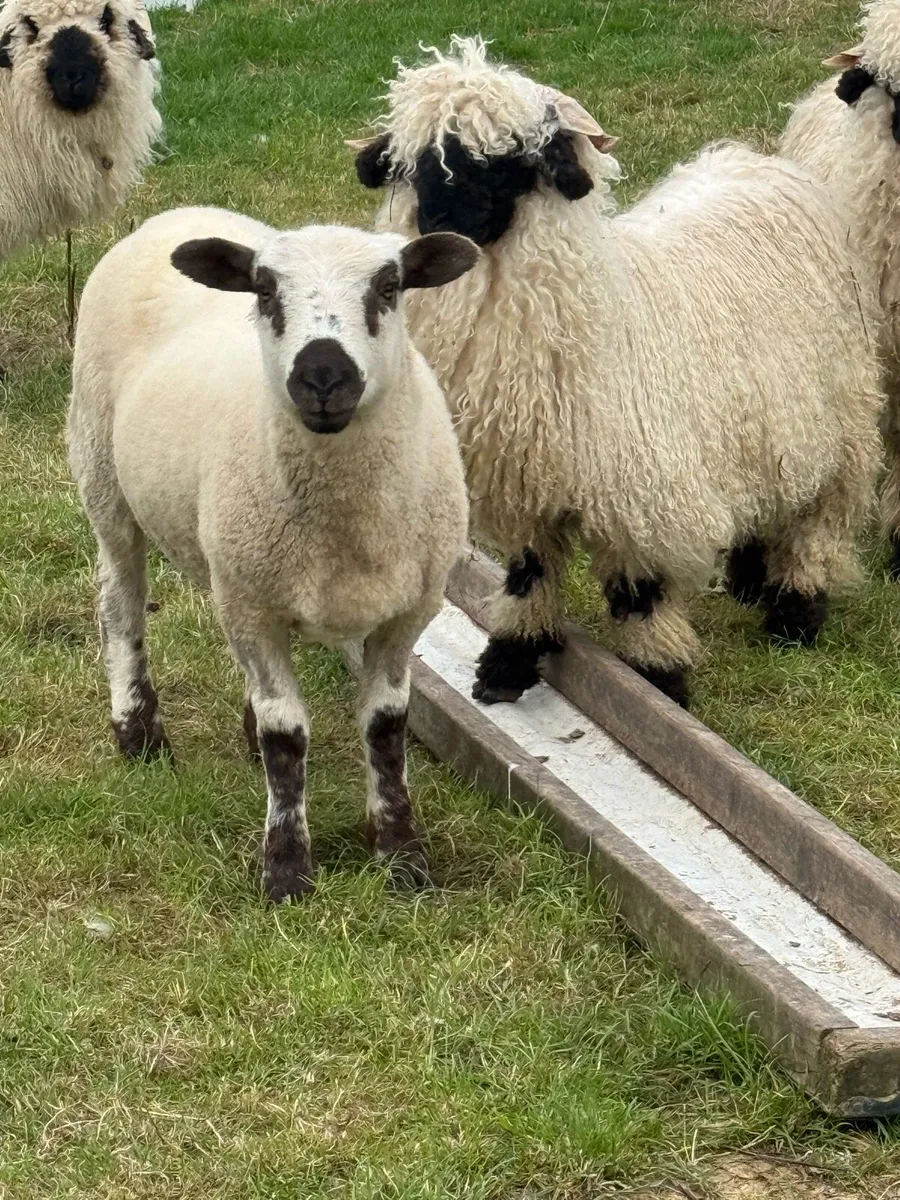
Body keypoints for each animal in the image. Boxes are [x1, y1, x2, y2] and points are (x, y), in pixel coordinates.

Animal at [66, 205, 478, 902]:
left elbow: (385, 726)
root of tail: (177, 213)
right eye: (264, 291)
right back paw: (138, 733)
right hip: (102, 473)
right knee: (120, 603)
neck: (344, 525)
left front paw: (402, 856)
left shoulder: (406, 613)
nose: (323, 376)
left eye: (389, 287)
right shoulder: (252, 608)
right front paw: (286, 870)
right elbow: (287, 733)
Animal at [352, 36, 884, 710]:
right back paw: (748, 579)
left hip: (840, 414)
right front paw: (510, 661)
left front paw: (661, 680)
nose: (444, 225)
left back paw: (796, 610)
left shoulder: (642, 494)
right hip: (760, 423)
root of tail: (755, 163)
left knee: (818, 515)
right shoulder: (523, 486)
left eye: (510, 163)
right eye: (414, 165)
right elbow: (530, 575)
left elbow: (640, 597)